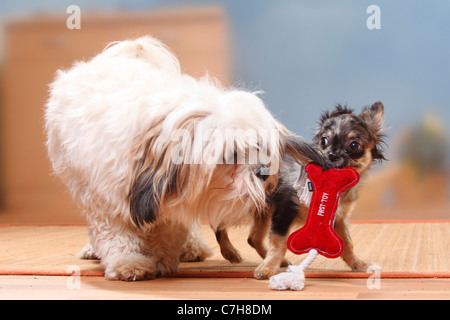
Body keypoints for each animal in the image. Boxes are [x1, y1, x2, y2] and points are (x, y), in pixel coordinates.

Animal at [44, 35, 324, 280]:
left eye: (262, 147)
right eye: (232, 153)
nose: (265, 172)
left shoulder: (174, 201)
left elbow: (169, 231)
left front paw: (163, 259)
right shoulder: (104, 200)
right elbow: (117, 236)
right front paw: (130, 263)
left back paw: (192, 248)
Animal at [216, 101, 384, 278]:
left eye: (354, 145)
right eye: (324, 140)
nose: (331, 154)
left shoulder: (338, 219)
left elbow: (348, 245)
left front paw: (359, 265)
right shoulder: (285, 210)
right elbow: (280, 243)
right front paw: (268, 268)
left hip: (263, 209)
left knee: (253, 238)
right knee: (218, 225)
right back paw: (229, 251)